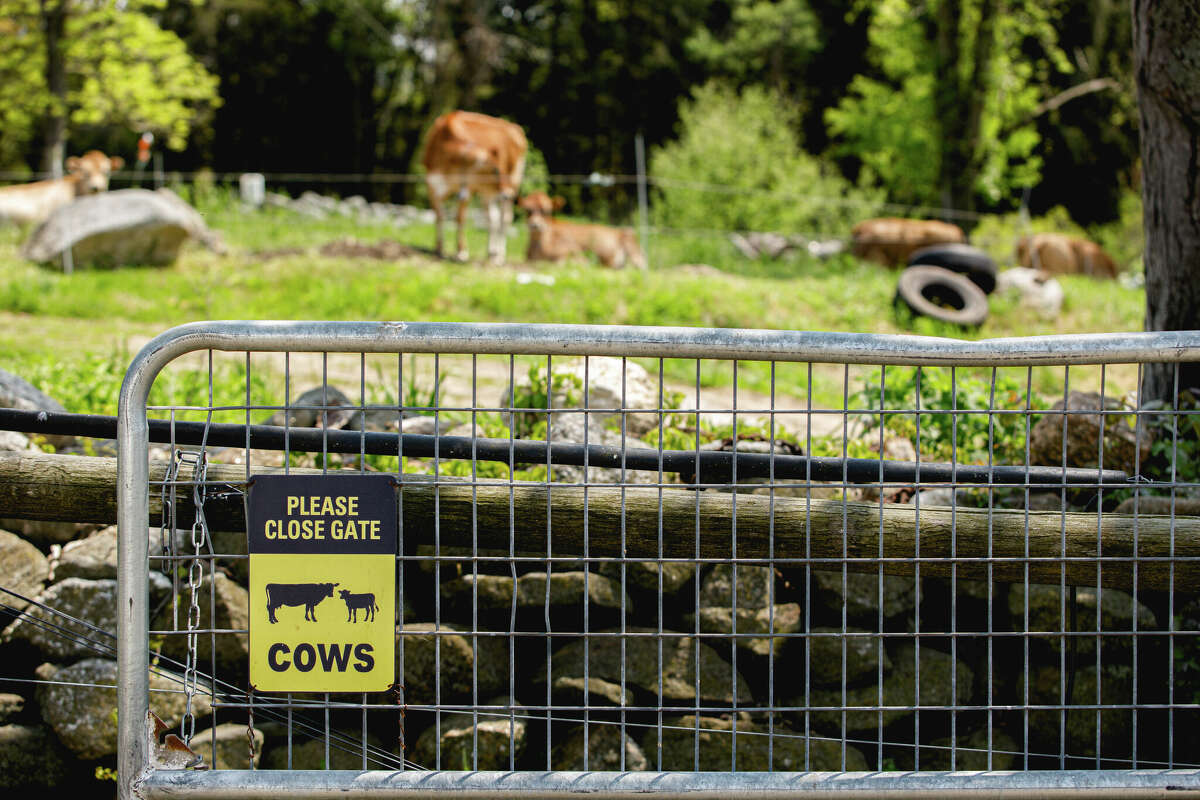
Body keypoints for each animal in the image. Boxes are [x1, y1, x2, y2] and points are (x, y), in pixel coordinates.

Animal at [422, 109, 525, 263]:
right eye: (495, 170)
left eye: (501, 169)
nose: (508, 194)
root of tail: (515, 128)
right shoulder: (432, 185)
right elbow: (439, 216)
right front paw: (439, 249)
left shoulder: (468, 189)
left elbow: (459, 217)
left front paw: (461, 252)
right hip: (486, 192)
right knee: (492, 218)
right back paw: (491, 252)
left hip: (514, 180)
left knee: (505, 218)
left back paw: (499, 256)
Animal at [518, 191, 648, 271]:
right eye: (527, 210)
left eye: (546, 211)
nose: (535, 225)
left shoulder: (574, 253)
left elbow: (562, 263)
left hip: (633, 250)